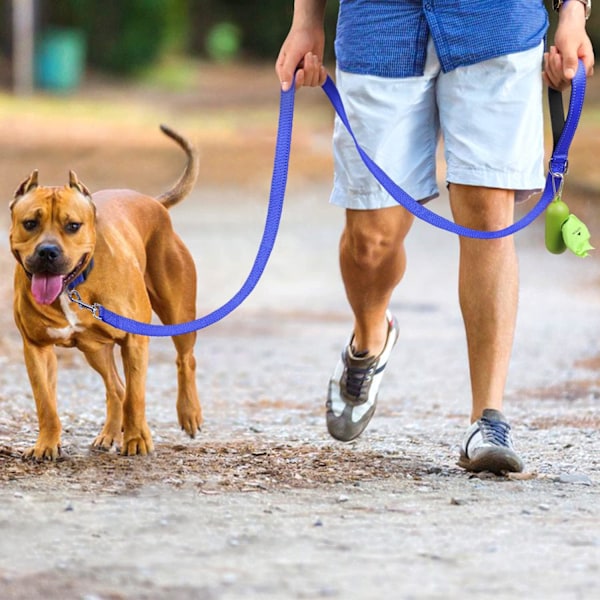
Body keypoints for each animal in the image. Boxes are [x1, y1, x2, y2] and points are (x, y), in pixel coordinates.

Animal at [9, 125, 203, 460]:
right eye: (30, 223)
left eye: (73, 226)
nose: (47, 252)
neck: (72, 287)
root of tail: (154, 203)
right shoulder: (36, 347)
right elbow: (45, 403)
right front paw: (46, 443)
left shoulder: (135, 340)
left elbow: (137, 396)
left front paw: (137, 440)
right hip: (94, 348)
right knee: (116, 388)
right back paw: (110, 433)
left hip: (178, 312)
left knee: (184, 359)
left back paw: (189, 413)